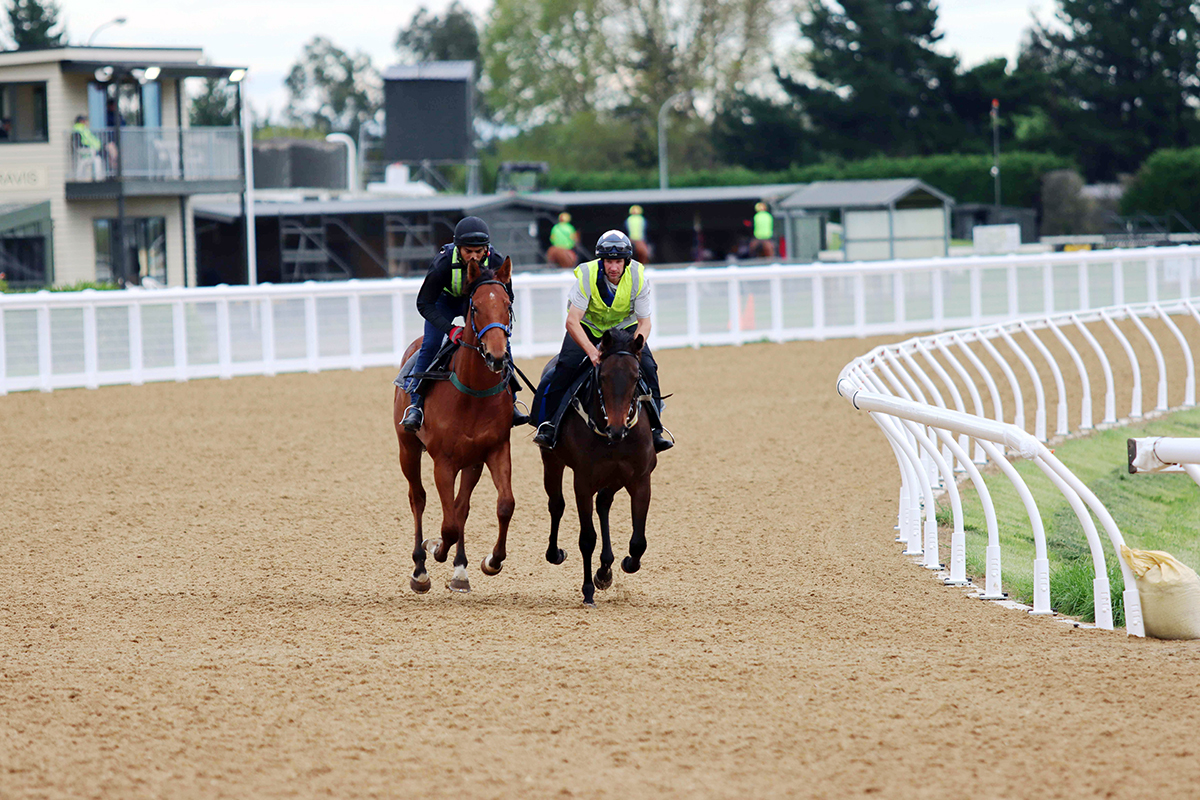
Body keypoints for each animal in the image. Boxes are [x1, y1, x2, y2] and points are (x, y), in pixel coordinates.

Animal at [396, 256, 518, 594]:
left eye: (508, 304)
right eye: (475, 307)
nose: (496, 356)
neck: (473, 393)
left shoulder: (495, 449)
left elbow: (504, 504)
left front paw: (491, 561)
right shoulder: (444, 461)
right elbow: (447, 525)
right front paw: (434, 547)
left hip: (472, 461)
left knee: (461, 506)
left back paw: (460, 570)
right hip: (407, 448)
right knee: (418, 498)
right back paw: (420, 569)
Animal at [542, 326, 657, 606]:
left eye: (636, 376)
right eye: (602, 375)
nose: (616, 428)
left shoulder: (640, 479)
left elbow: (638, 542)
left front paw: (622, 565)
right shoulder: (582, 482)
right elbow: (587, 538)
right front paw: (587, 591)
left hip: (615, 477)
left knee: (603, 502)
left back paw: (605, 568)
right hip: (552, 461)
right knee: (556, 505)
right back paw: (555, 553)